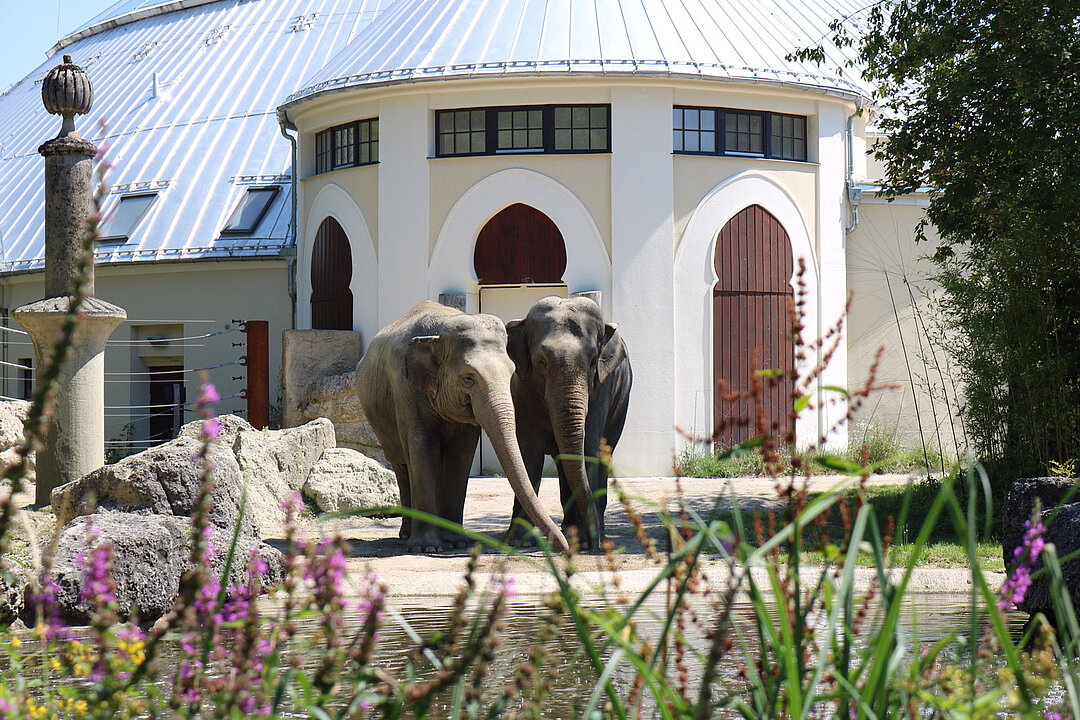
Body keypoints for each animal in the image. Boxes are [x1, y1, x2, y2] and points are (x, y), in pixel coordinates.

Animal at [356, 302, 574, 557]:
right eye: (468, 378)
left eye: (511, 374)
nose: (564, 548)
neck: (438, 332)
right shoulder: (405, 389)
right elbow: (421, 446)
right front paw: (427, 547)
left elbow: (462, 453)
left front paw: (456, 542)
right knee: (402, 464)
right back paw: (407, 535)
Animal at [505, 295, 630, 548]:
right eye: (541, 362)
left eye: (593, 362)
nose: (596, 546)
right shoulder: (522, 389)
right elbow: (529, 454)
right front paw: (519, 542)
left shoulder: (601, 388)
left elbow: (589, 448)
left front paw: (586, 539)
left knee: (603, 455)